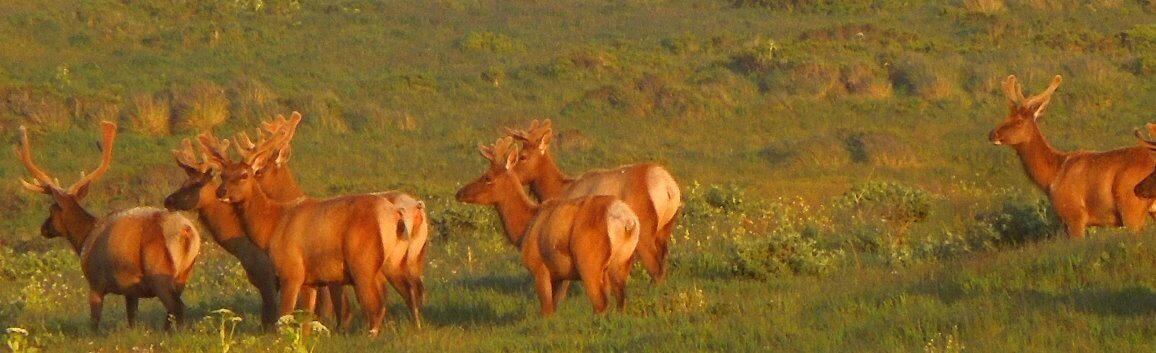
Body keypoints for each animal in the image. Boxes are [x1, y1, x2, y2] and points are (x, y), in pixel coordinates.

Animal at [14, 120, 199, 328]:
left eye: (52, 209)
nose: (44, 228)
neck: (84, 238)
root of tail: (186, 231)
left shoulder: (95, 281)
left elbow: (94, 322)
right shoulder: (130, 290)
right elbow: (132, 318)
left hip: (159, 274)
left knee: (177, 308)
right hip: (184, 273)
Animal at [455, 135, 642, 314]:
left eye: (487, 177)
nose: (459, 193)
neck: (523, 229)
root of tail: (626, 221)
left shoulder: (539, 267)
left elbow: (547, 311)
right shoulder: (559, 275)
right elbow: (555, 306)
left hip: (589, 261)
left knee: (601, 304)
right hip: (622, 262)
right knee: (621, 301)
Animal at [504, 119, 675, 281]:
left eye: (523, 156)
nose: (510, 173)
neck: (560, 189)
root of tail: (669, 187)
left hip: (645, 230)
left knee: (655, 266)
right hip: (665, 229)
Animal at [984, 75, 1156, 237]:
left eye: (1019, 121)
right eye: (1006, 116)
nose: (992, 134)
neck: (1052, 176)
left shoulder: (1074, 215)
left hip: (1130, 205)